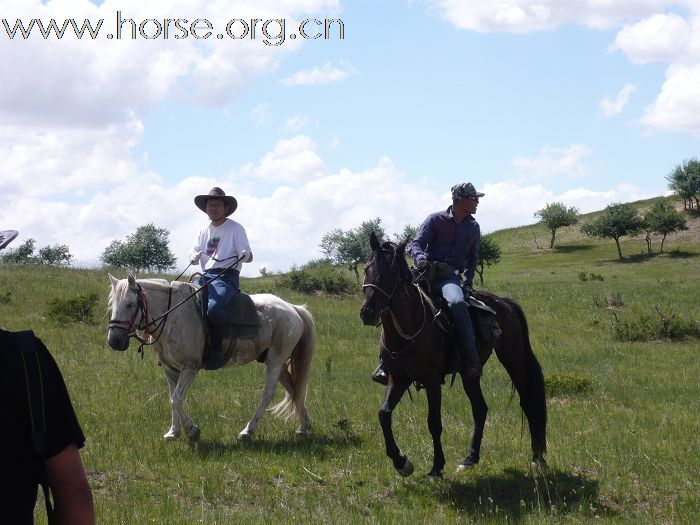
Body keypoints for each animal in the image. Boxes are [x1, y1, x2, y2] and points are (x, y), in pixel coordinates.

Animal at [106, 274, 314, 442]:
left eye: (130, 304)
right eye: (112, 305)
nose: (114, 341)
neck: (172, 317)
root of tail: (293, 308)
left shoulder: (190, 368)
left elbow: (176, 400)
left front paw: (192, 430)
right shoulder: (169, 369)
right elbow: (172, 399)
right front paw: (173, 432)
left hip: (275, 362)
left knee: (268, 394)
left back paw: (247, 431)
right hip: (278, 364)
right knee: (294, 390)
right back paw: (304, 427)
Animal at [360, 231, 548, 476]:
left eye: (392, 273)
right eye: (367, 268)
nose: (367, 313)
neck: (409, 328)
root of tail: (503, 303)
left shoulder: (432, 380)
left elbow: (434, 423)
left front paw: (436, 468)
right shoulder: (398, 378)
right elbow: (384, 414)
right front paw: (402, 463)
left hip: (513, 358)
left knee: (527, 400)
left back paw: (537, 457)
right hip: (470, 373)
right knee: (480, 408)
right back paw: (470, 458)